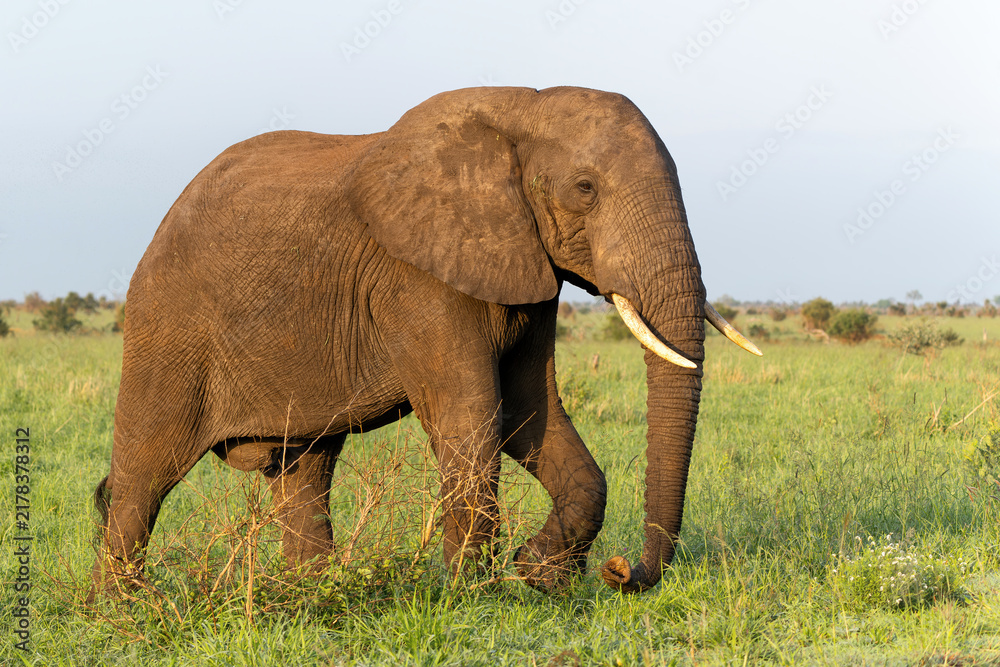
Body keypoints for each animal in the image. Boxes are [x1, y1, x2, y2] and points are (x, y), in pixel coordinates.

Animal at [88, 86, 760, 600]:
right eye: (586, 188)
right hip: (167, 327)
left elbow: (529, 411)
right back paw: (121, 611)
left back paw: (311, 596)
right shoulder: (417, 279)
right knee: (144, 474)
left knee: (304, 471)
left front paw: (539, 577)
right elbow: (473, 420)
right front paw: (478, 599)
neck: (524, 106)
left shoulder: (526, 262)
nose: (622, 572)